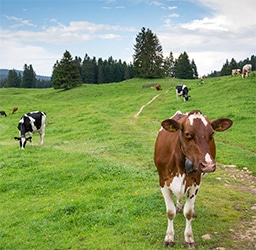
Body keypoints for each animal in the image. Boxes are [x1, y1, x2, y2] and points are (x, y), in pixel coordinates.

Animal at [153, 110, 233, 248]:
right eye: (187, 134)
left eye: (212, 133)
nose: (209, 165)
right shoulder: (163, 182)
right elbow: (170, 212)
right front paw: (169, 238)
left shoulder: (195, 183)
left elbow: (188, 212)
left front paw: (189, 238)